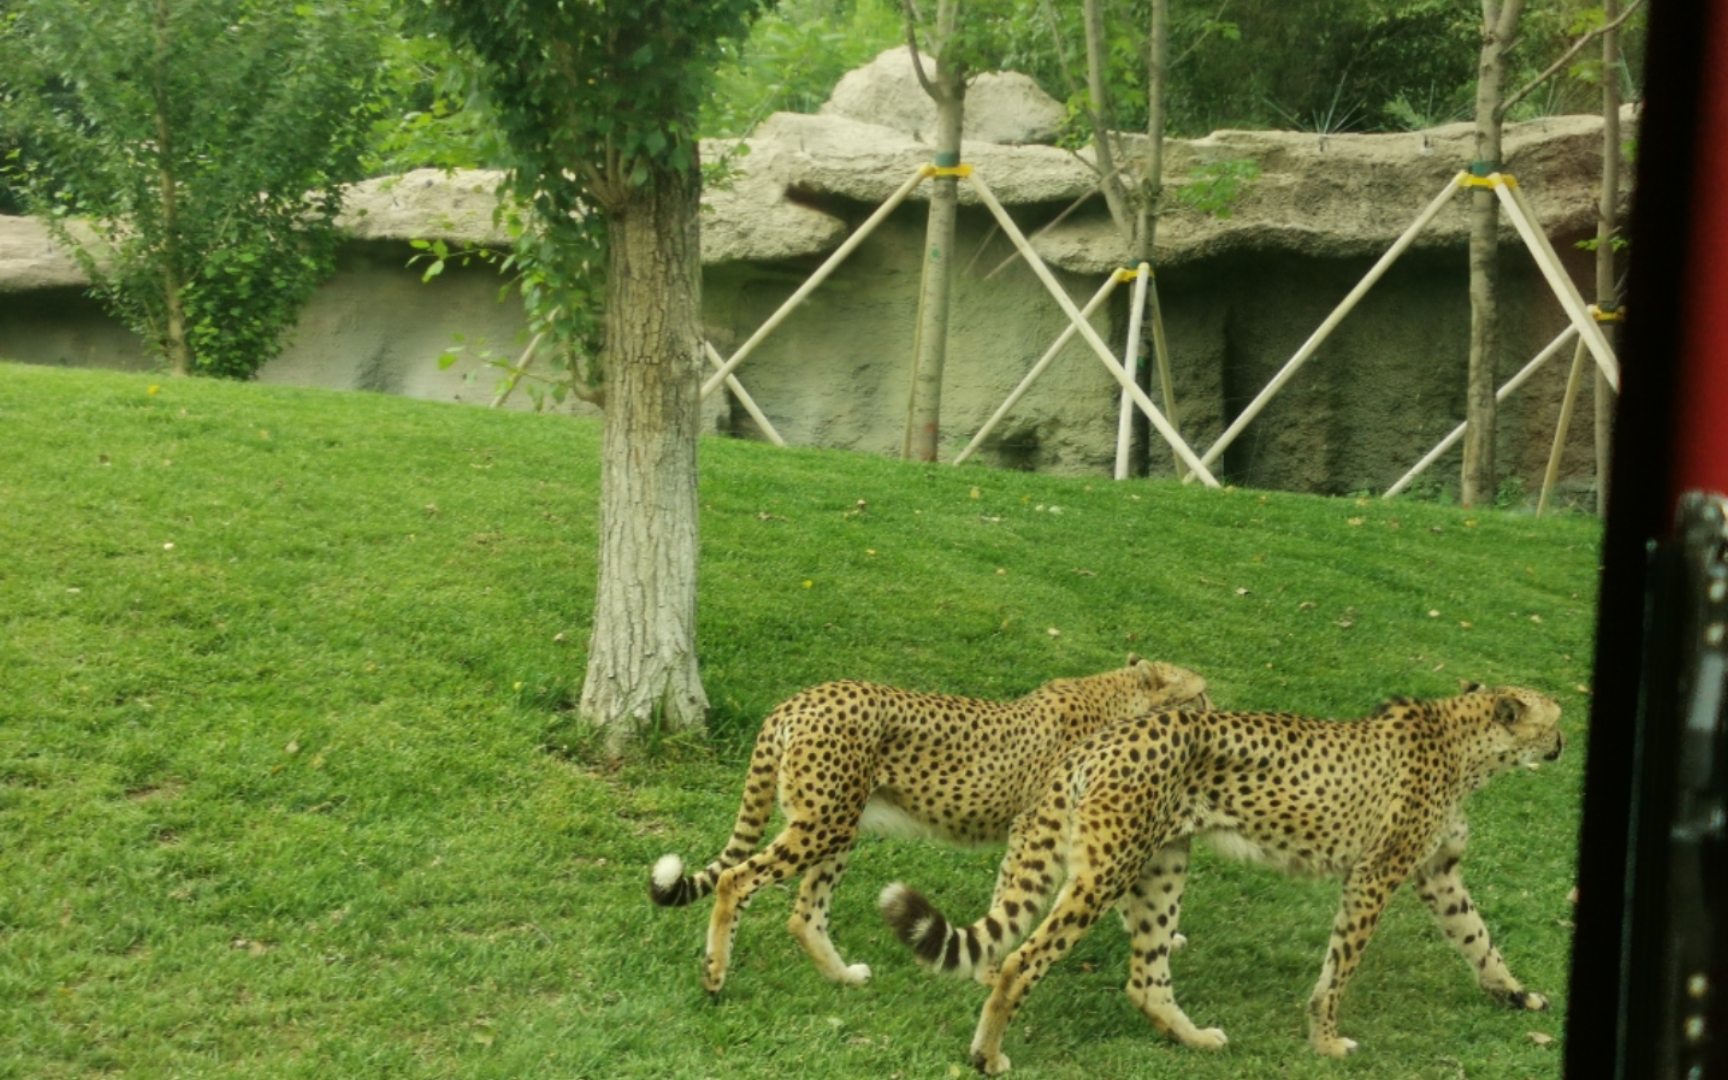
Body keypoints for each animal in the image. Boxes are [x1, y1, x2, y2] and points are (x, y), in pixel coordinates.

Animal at [653, 653, 1209, 988]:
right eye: (1200, 694)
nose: (1210, 713)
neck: (1118, 701)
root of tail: (798, 699)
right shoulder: (1036, 828)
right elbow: (1017, 895)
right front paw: (989, 969)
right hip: (824, 824)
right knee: (734, 878)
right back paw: (716, 973)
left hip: (839, 825)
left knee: (804, 914)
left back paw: (844, 977)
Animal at [884, 680, 1562, 1071]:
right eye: (1555, 721)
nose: (1560, 746)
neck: (1464, 742)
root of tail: (1102, 737)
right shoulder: (1375, 875)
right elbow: (1340, 969)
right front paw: (1326, 1042)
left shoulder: (1437, 872)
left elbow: (1479, 939)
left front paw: (1516, 994)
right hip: (1108, 870)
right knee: (1024, 960)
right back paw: (987, 1054)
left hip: (1162, 863)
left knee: (1146, 978)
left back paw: (1194, 1039)